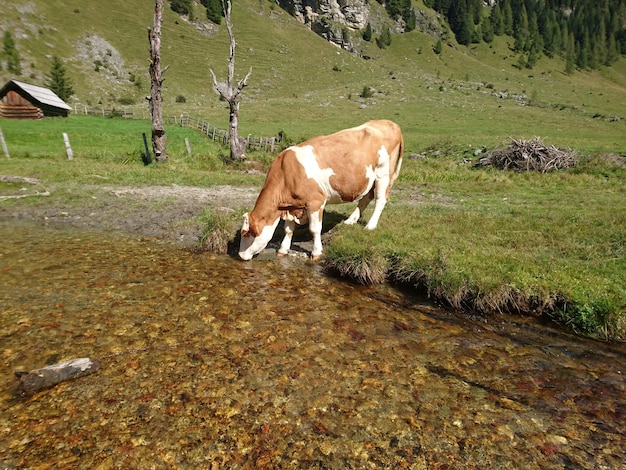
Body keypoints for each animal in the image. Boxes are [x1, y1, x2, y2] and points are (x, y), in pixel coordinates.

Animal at [236, 119, 402, 260]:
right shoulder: (292, 205)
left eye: (246, 233)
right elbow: (288, 229)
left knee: (380, 199)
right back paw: (350, 221)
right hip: (369, 178)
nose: (240, 256)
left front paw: (316, 253)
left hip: (383, 174)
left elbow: (314, 229)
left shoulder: (316, 201)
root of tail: (390, 123)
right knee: (365, 198)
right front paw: (283, 250)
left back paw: (370, 226)